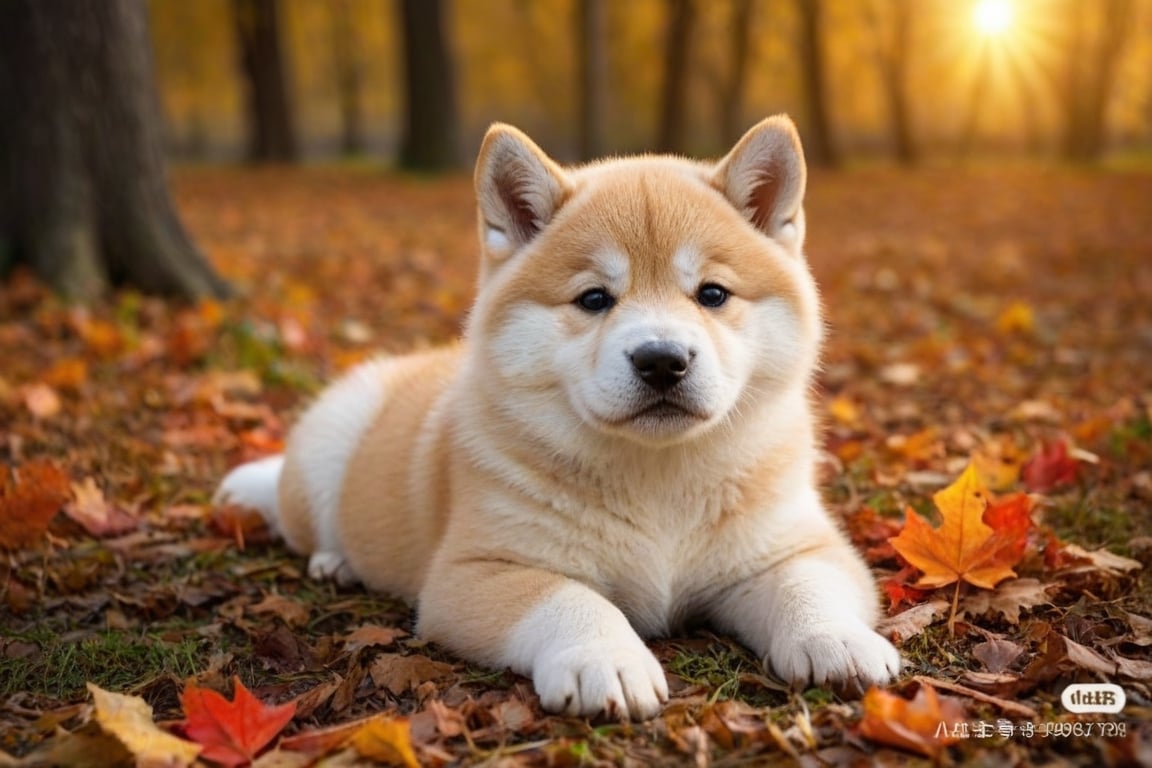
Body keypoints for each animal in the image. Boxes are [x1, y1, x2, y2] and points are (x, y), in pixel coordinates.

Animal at [216, 115, 898, 723]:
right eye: (594, 299)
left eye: (712, 294)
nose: (662, 359)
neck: (658, 483)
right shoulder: (476, 573)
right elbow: (571, 599)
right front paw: (606, 659)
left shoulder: (793, 547)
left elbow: (808, 587)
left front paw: (836, 640)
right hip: (331, 446)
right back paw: (335, 560)